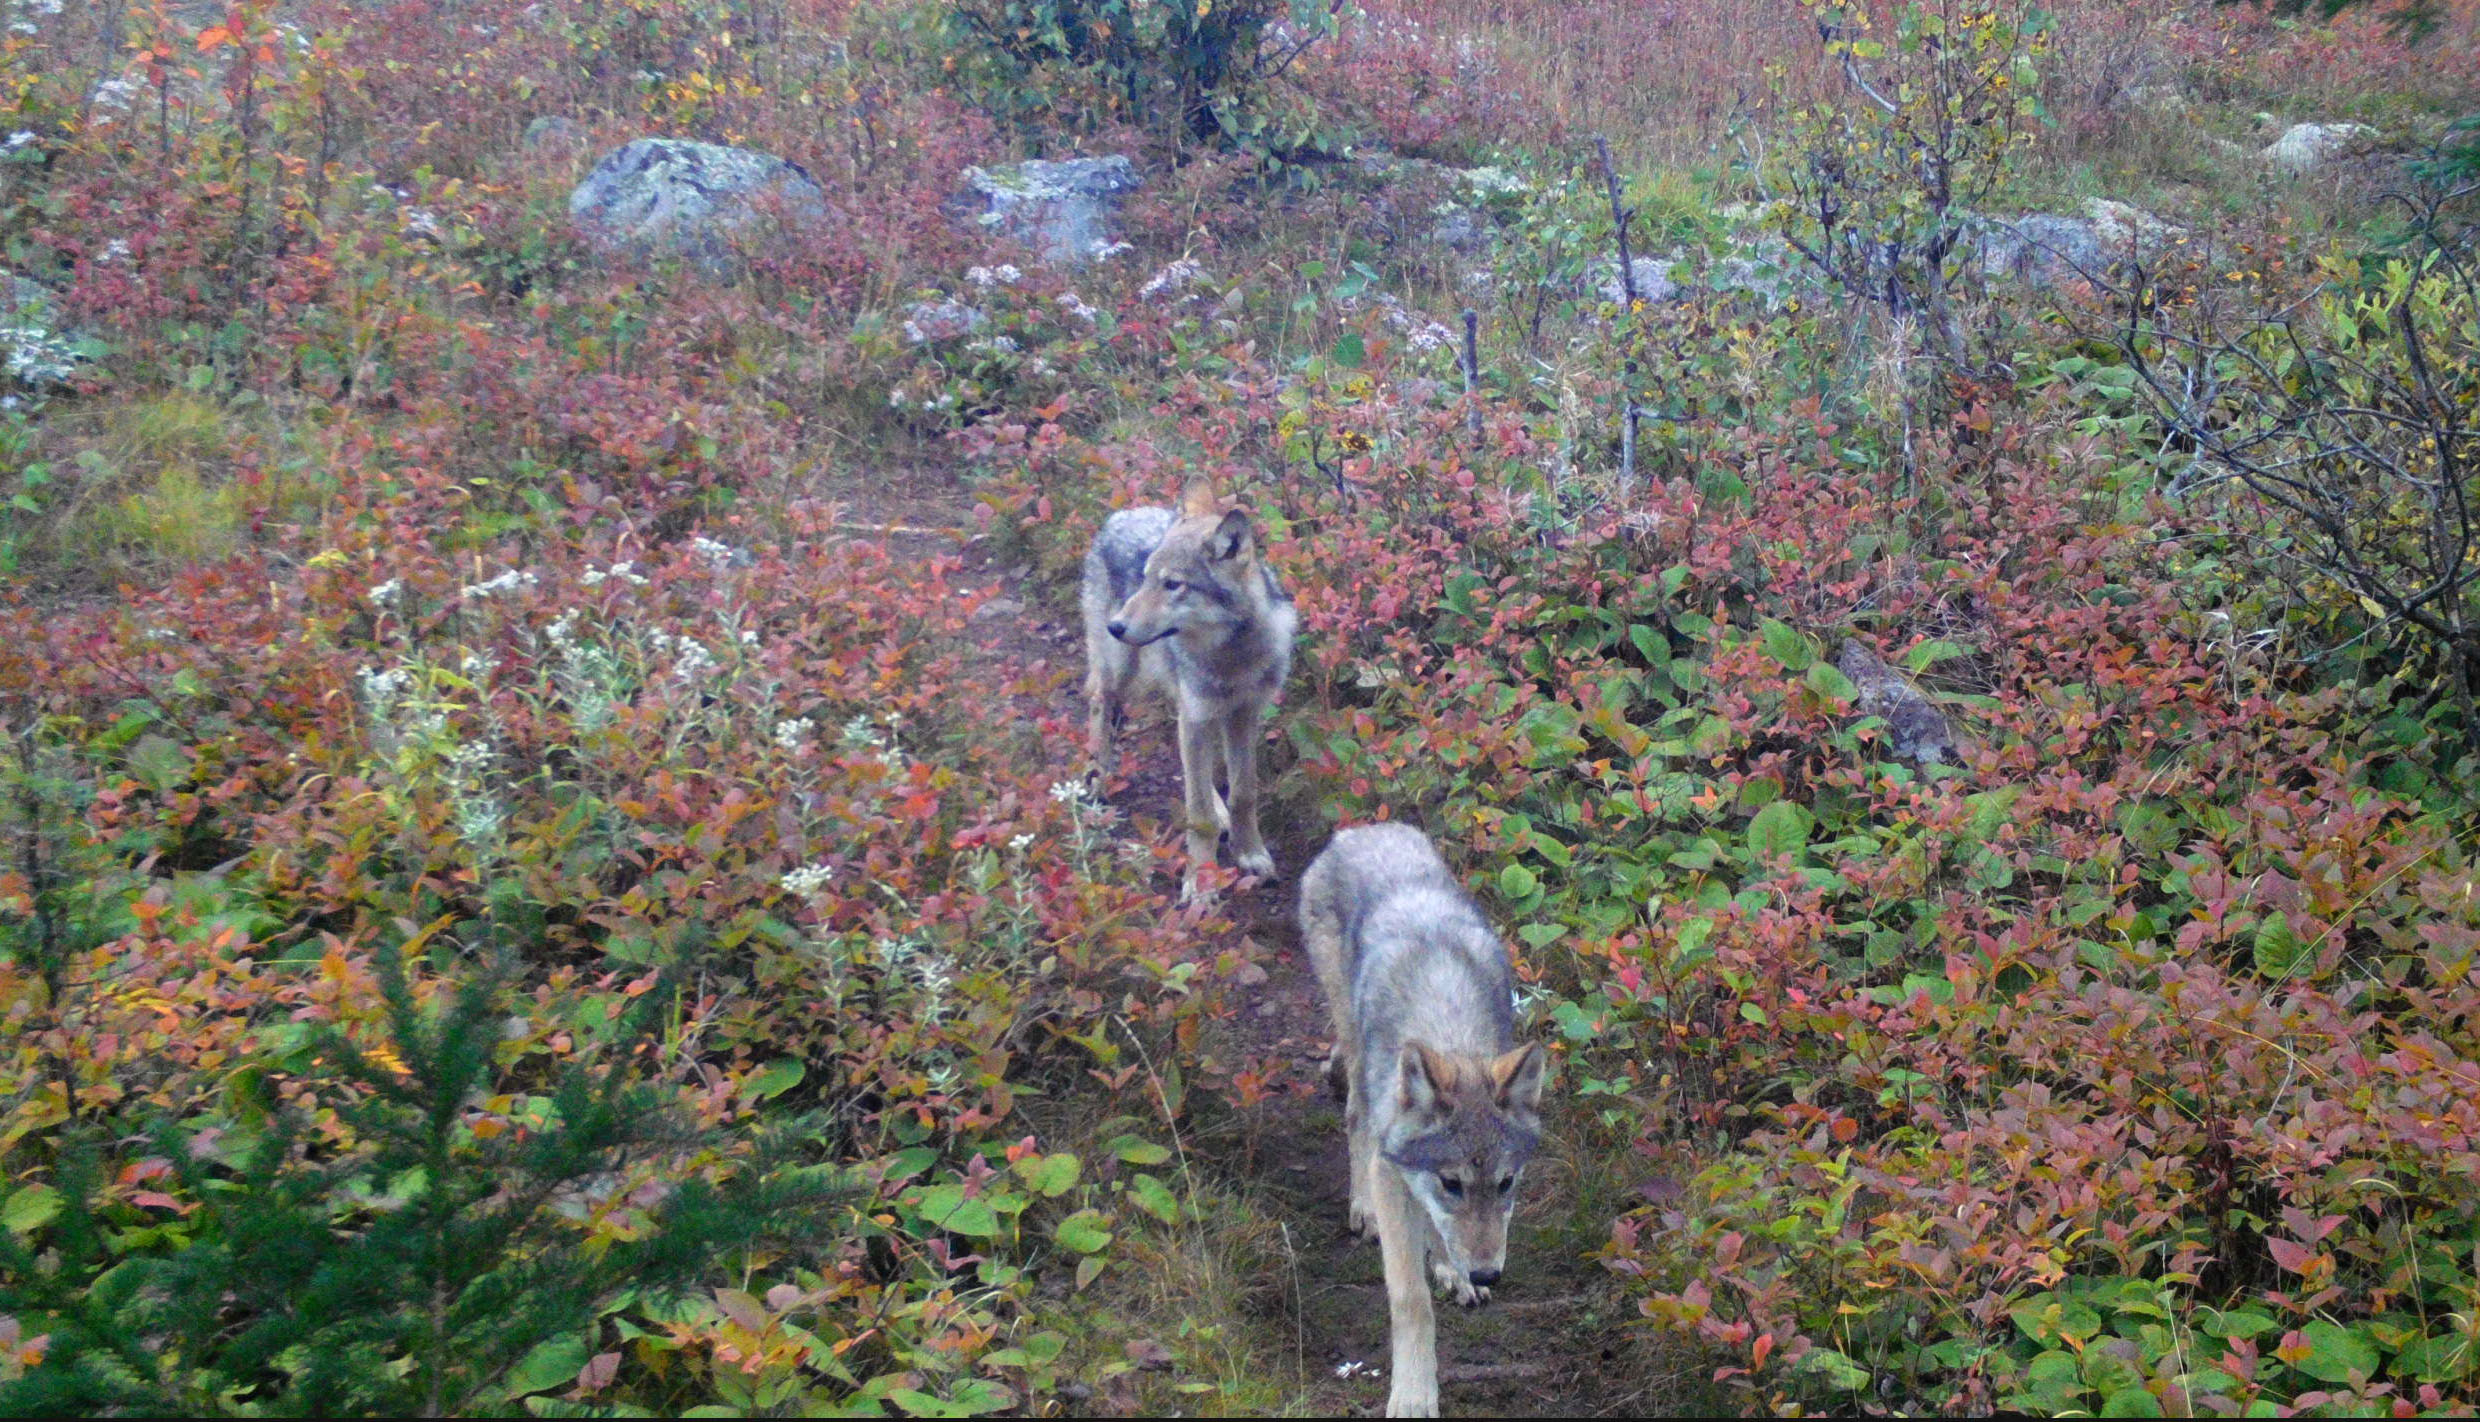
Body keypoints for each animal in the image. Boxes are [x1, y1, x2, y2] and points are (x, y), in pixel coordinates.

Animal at [1086, 476, 1299, 898]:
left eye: (1173, 585)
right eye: (1146, 578)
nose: (1116, 626)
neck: (1232, 657)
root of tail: (1123, 513)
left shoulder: (1242, 715)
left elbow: (1244, 793)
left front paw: (1250, 852)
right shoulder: (1200, 715)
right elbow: (1197, 814)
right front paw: (1201, 883)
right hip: (1121, 673)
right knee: (1099, 703)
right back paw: (1098, 778)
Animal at [1299, 818, 1547, 1419]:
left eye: (1506, 1183)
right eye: (1451, 1182)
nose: (1488, 1273)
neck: (1447, 1021)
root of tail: (1361, 830)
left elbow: (1441, 1232)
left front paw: (1455, 1273)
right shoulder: (1396, 1173)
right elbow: (1411, 1300)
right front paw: (1413, 1395)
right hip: (1354, 1043)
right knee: (1356, 1117)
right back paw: (1361, 1208)